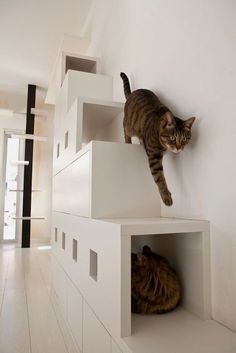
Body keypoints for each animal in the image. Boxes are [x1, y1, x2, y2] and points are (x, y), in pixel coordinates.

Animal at [120, 72, 195, 206]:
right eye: (173, 137)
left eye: (185, 138)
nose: (179, 148)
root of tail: (132, 93)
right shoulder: (154, 157)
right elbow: (159, 178)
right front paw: (166, 196)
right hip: (129, 125)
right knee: (125, 131)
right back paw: (128, 142)